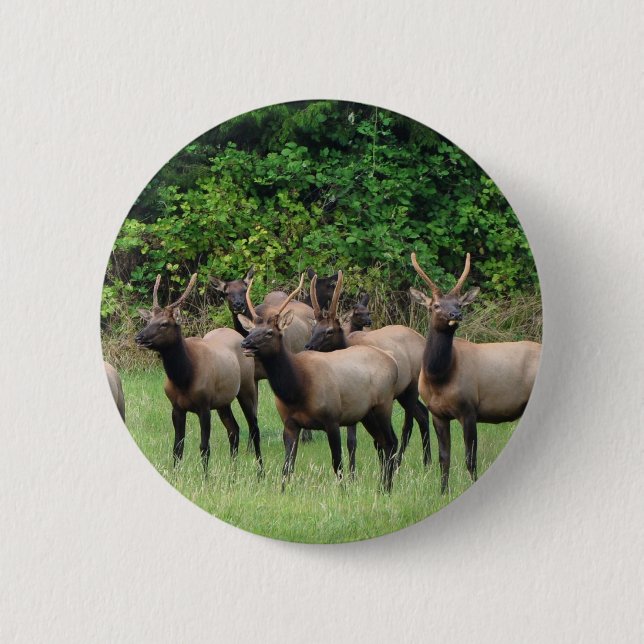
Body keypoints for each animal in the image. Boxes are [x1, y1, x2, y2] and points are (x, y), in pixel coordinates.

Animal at [135, 273, 263, 472]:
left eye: (164, 324)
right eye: (148, 321)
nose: (139, 338)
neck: (183, 377)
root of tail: (241, 336)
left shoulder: (204, 405)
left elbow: (204, 447)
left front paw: (205, 477)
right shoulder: (177, 408)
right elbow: (177, 447)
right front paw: (175, 473)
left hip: (247, 387)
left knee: (254, 428)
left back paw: (260, 472)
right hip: (223, 402)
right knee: (234, 429)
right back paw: (233, 472)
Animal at [238, 275, 400, 492]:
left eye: (270, 332)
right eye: (252, 330)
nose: (245, 343)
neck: (297, 389)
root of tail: (392, 361)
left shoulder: (332, 419)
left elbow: (337, 463)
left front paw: (343, 492)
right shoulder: (290, 424)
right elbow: (287, 466)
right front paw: (282, 491)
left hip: (383, 405)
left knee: (390, 442)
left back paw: (386, 488)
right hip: (367, 414)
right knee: (383, 442)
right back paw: (383, 487)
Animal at [304, 273, 431, 473]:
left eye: (329, 331)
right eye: (313, 328)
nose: (308, 346)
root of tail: (422, 339)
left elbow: (361, 440)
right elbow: (355, 441)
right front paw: (354, 472)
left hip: (411, 388)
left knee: (408, 425)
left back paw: (400, 463)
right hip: (401, 394)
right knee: (424, 414)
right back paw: (427, 463)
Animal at [409, 252, 541, 493]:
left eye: (459, 303)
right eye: (435, 305)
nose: (456, 314)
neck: (439, 378)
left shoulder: (469, 408)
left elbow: (470, 459)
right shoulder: (437, 413)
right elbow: (444, 458)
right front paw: (442, 492)